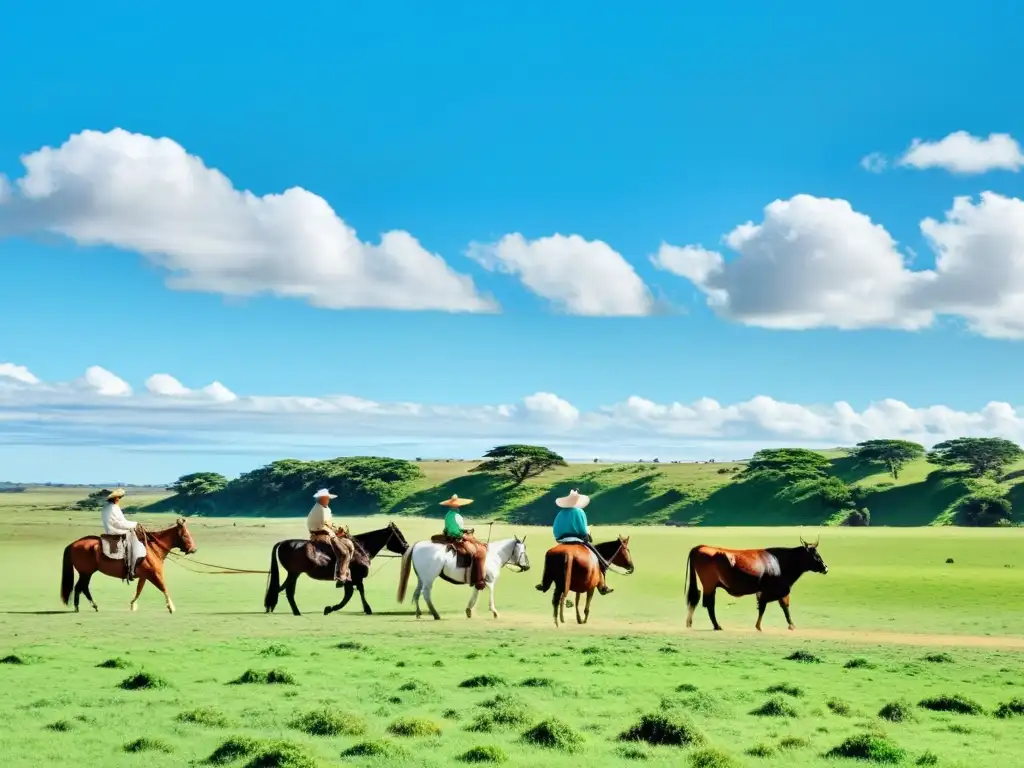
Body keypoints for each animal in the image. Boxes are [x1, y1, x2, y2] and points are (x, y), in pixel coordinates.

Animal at [59, 520, 197, 618]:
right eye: (185, 535)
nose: (194, 549)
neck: (152, 548)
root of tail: (73, 544)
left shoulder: (144, 576)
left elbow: (138, 591)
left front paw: (132, 605)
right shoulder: (154, 574)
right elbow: (164, 588)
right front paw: (171, 608)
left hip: (86, 573)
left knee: (81, 587)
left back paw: (88, 606)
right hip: (86, 573)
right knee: (81, 587)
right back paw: (84, 606)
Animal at [264, 524, 407, 618]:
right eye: (398, 534)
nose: (406, 546)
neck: (360, 549)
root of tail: (283, 543)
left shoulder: (351, 580)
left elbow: (351, 594)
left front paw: (330, 608)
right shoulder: (355, 578)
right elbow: (354, 593)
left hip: (294, 574)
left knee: (287, 591)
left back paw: (294, 611)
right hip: (294, 573)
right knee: (281, 590)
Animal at [395, 536, 532, 622]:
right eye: (524, 551)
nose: (527, 566)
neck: (495, 555)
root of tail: (418, 545)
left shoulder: (480, 581)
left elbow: (475, 594)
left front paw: (469, 611)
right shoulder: (490, 581)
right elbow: (491, 594)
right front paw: (494, 612)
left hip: (421, 578)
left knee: (417, 593)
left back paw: (418, 613)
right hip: (429, 578)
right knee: (426, 593)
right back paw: (435, 614)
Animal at [684, 536, 827, 634]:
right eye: (816, 555)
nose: (826, 567)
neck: (778, 562)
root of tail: (699, 547)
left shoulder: (766, 591)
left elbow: (767, 606)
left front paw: (759, 626)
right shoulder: (776, 590)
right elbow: (779, 606)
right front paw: (790, 625)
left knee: (696, 597)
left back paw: (689, 623)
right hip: (710, 585)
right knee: (708, 604)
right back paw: (717, 626)